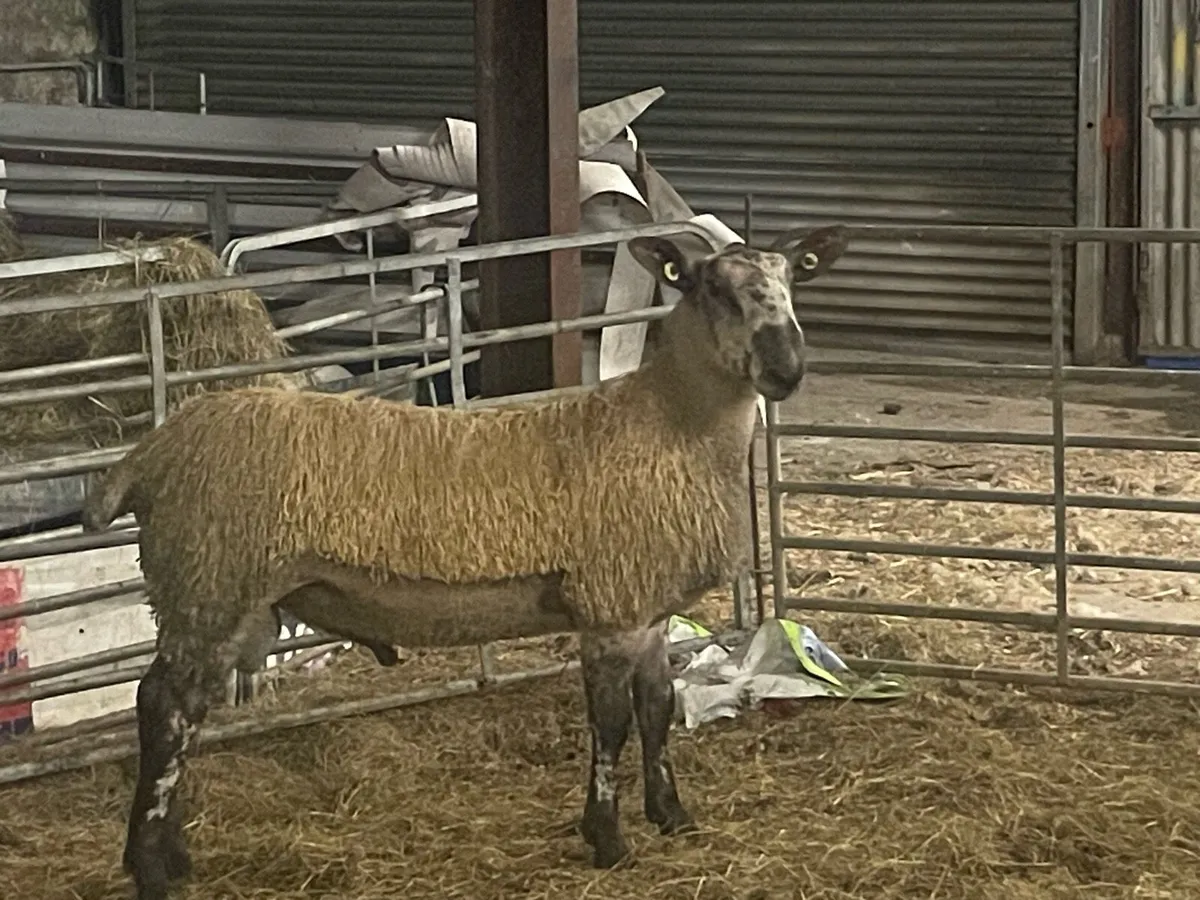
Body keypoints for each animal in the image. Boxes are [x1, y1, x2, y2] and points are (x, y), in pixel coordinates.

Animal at [81, 223, 849, 900]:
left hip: (220, 590)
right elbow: (611, 726)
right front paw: (608, 840)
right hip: (207, 578)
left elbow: (656, 712)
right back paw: (149, 870)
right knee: (162, 708)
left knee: (184, 712)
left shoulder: (647, 608)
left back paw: (175, 855)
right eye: (713, 288)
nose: (788, 368)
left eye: (794, 279)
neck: (668, 424)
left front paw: (673, 817)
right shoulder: (608, 608)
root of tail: (150, 454)